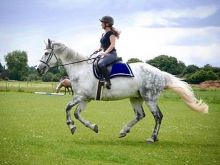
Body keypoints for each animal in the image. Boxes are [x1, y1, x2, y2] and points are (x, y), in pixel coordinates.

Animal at [36, 39, 208, 143]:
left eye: (46, 53)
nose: (38, 69)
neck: (80, 68)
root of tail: (160, 73)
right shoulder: (85, 98)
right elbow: (77, 114)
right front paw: (93, 127)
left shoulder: (80, 96)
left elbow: (67, 108)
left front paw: (71, 126)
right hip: (136, 98)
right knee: (140, 115)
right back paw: (124, 131)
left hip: (150, 98)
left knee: (158, 116)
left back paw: (152, 138)